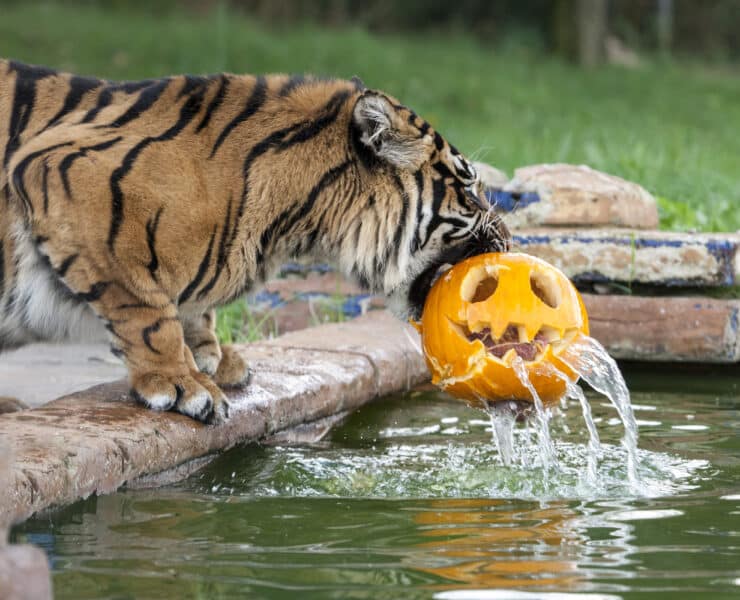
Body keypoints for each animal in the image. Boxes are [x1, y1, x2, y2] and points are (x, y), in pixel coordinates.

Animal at [0, 59, 511, 423]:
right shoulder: (61, 171)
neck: (296, 219)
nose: (508, 240)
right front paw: (181, 383)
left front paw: (211, 357)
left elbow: (189, 309)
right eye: (469, 190)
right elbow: (146, 309)